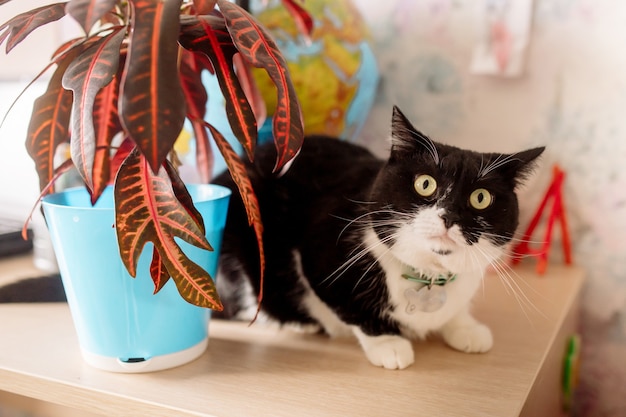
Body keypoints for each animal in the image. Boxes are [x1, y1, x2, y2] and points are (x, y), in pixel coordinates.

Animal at [212, 106, 544, 368]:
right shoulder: (322, 255)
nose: (448, 216)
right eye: (425, 183)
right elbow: (350, 306)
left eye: (481, 198)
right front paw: (388, 344)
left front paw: (466, 327)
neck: (428, 276)